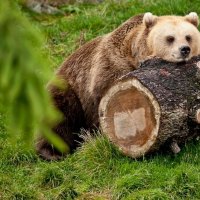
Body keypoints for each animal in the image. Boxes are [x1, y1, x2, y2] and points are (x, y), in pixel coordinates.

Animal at [35, 12, 200, 160]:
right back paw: (53, 152)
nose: (184, 49)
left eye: (188, 37)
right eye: (170, 38)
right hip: (68, 89)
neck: (134, 55)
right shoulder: (109, 68)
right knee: (57, 116)